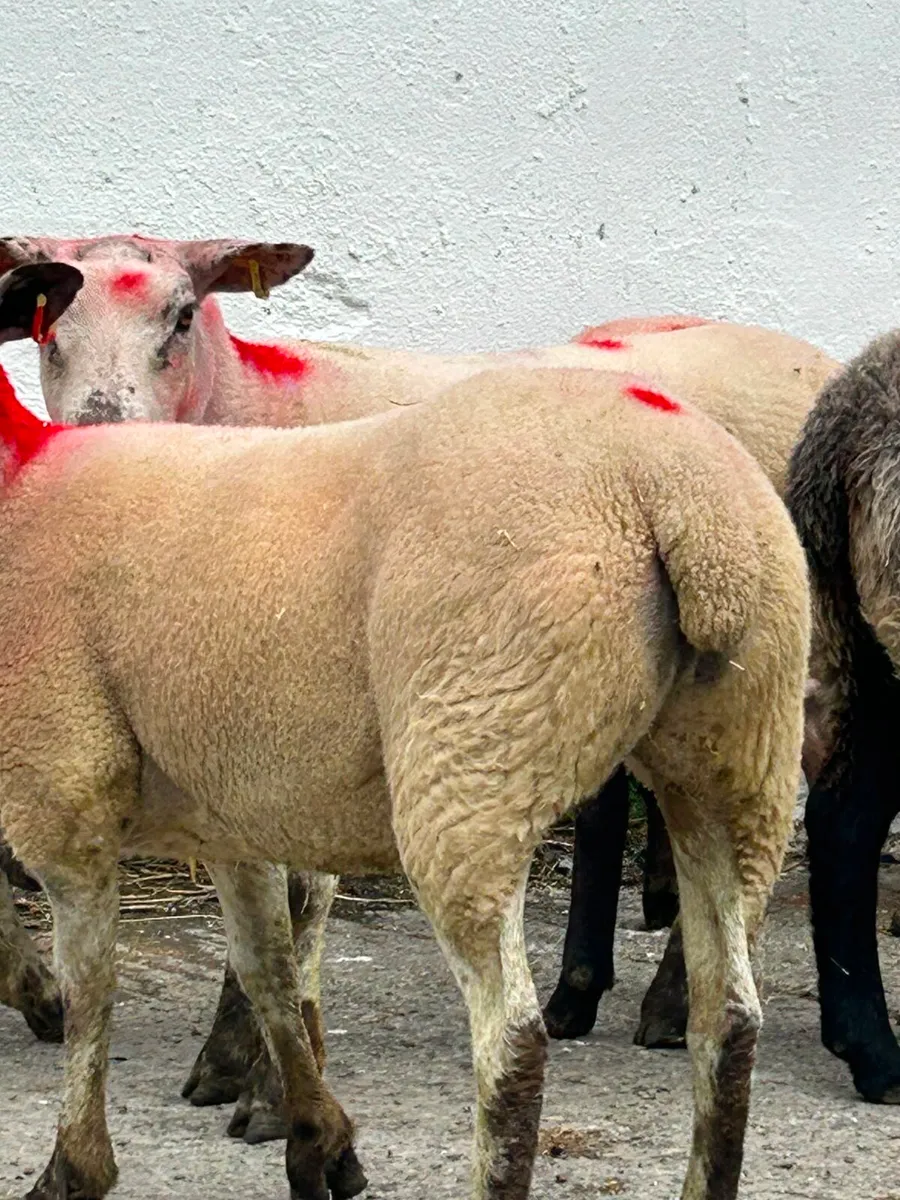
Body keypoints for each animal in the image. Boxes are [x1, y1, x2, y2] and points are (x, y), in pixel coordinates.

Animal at [0, 233, 839, 1145]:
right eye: (48, 331)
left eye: (183, 315)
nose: (96, 429)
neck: (249, 404)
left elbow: (298, 904)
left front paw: (267, 1085)